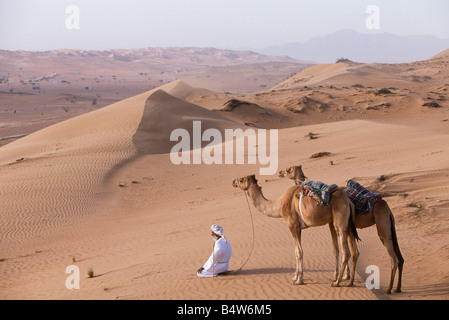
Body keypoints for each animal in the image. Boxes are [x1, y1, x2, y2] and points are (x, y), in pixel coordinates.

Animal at [278, 166, 404, 294]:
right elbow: (348, 251)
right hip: (390, 226)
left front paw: (341, 278)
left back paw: (388, 289)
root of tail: (386, 207)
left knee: (393, 257)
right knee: (400, 257)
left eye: (288, 170)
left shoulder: (336, 224)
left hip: (382, 225)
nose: (280, 172)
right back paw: (397, 288)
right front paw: (346, 278)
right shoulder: (341, 226)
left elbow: (343, 250)